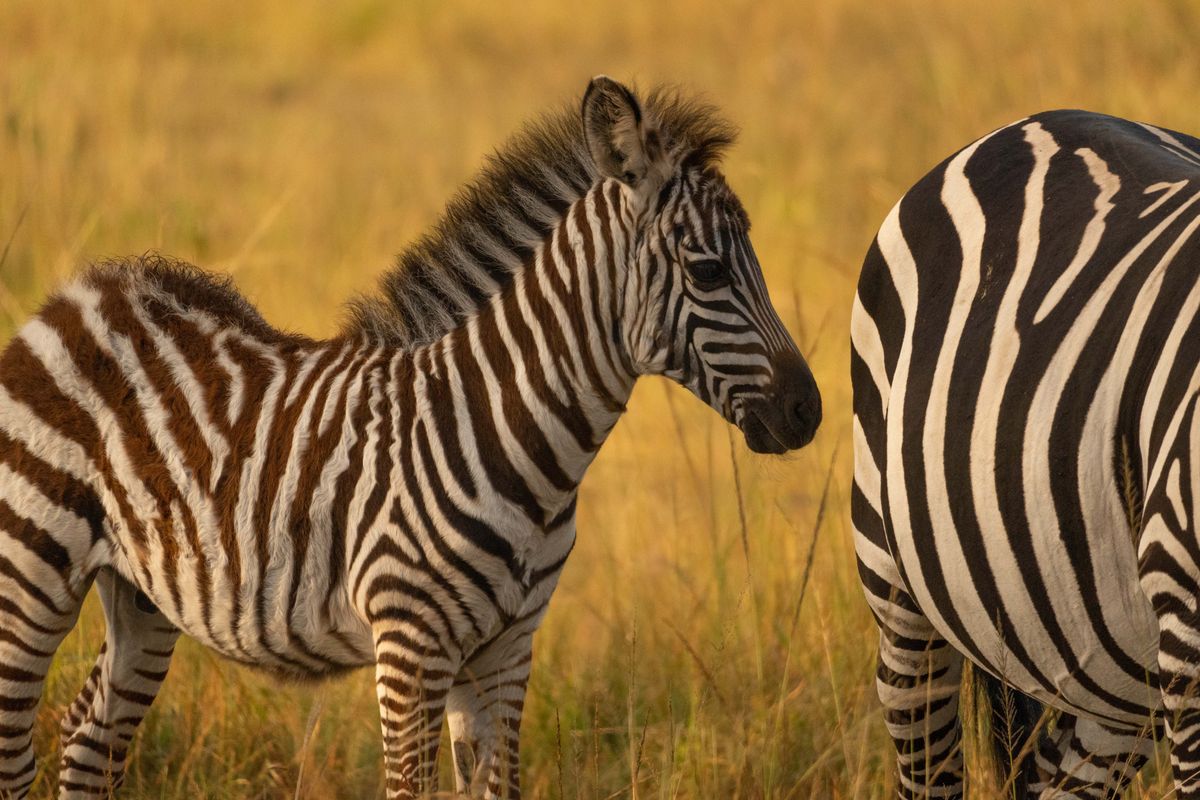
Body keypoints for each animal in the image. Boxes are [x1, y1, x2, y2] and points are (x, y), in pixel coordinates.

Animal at [0, 76, 820, 799]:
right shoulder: (409, 648)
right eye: (708, 271)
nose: (809, 412)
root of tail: (83, 291)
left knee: (88, 742)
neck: (514, 435)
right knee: (18, 751)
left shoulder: (505, 653)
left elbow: (497, 787)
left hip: (140, 593)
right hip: (29, 571)